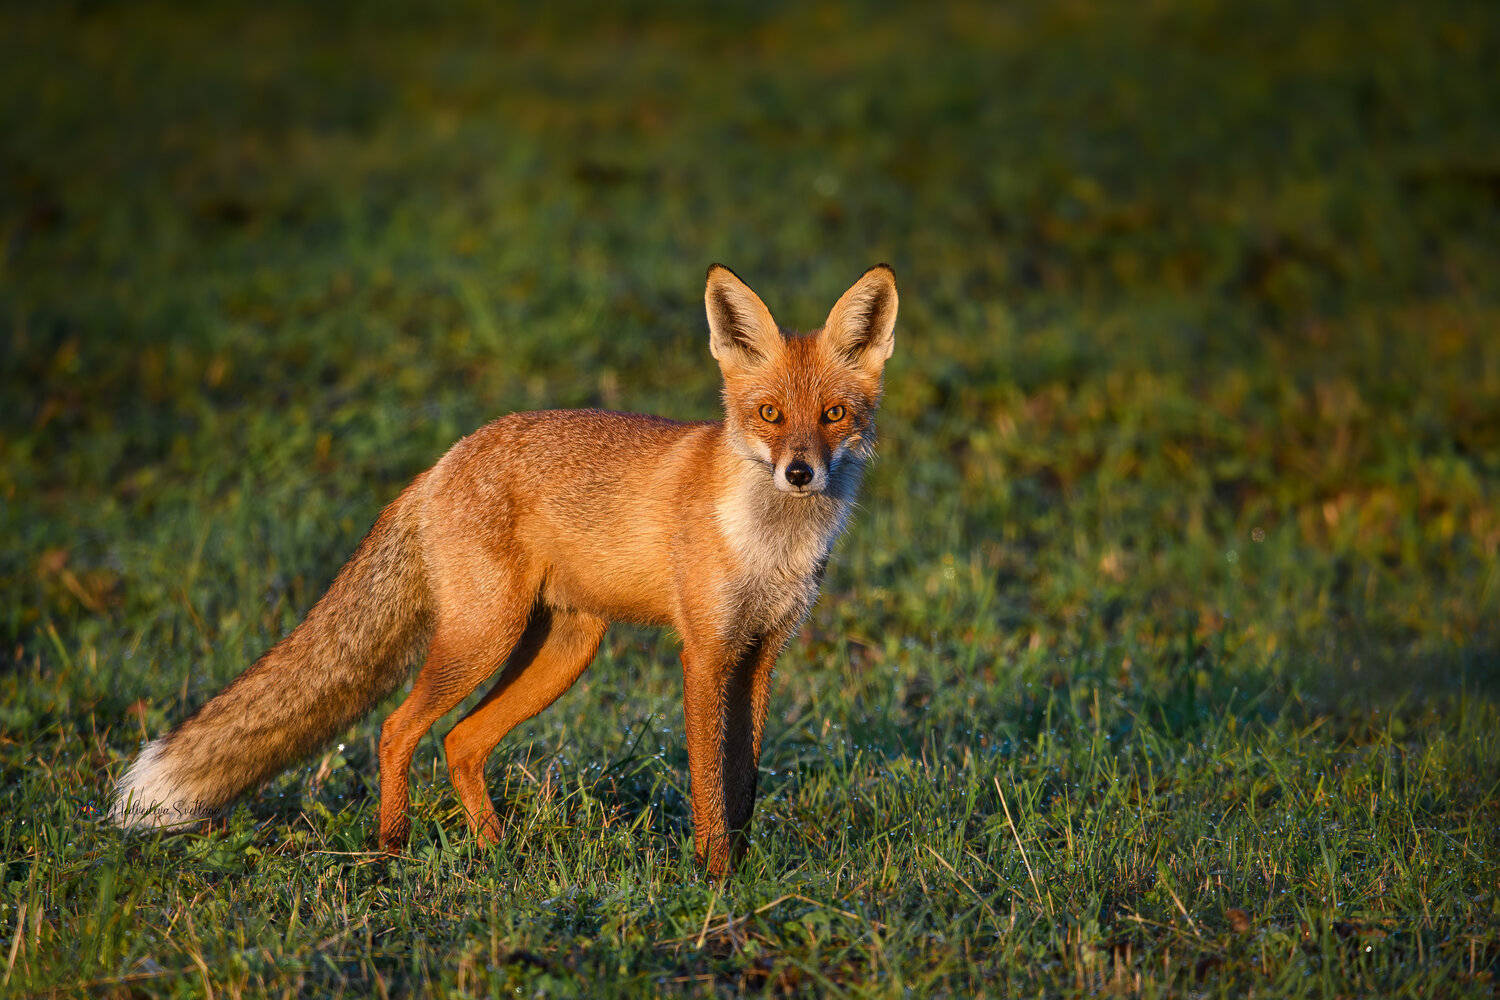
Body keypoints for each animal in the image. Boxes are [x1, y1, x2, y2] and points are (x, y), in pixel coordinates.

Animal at [111, 263, 898, 876]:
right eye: (768, 414)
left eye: (833, 414)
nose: (799, 473)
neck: (771, 546)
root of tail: (442, 462)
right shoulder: (704, 653)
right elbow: (709, 781)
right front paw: (714, 880)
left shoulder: (760, 654)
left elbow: (745, 780)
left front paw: (740, 869)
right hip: (483, 637)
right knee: (397, 729)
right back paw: (393, 849)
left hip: (563, 651)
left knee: (460, 741)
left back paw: (494, 852)